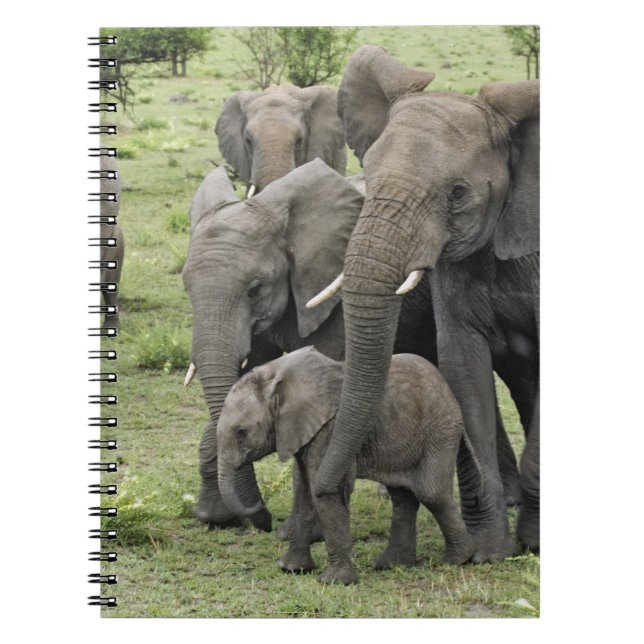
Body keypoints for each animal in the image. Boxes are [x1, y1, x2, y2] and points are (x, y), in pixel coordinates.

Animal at [182, 158, 442, 532]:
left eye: (255, 289)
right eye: (186, 287)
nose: (263, 517)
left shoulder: (333, 296)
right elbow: (240, 383)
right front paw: (213, 518)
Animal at [217, 347, 477, 584]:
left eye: (241, 432)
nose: (264, 515)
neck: (278, 373)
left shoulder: (329, 431)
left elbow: (326, 494)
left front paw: (333, 581)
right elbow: (302, 491)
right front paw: (291, 568)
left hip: (440, 430)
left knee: (430, 493)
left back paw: (458, 559)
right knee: (403, 497)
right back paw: (392, 564)